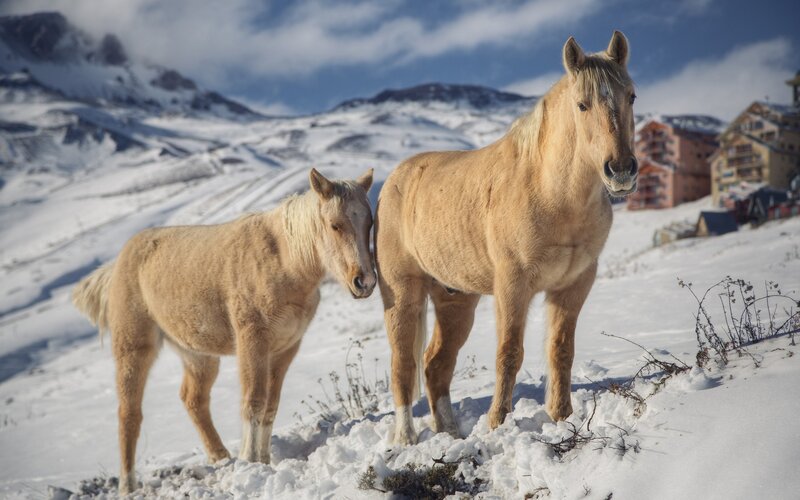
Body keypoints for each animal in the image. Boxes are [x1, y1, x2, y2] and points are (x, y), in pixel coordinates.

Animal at [72, 168, 375, 493]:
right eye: (335, 225)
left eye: (370, 223)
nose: (365, 282)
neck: (283, 261)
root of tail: (119, 262)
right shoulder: (252, 342)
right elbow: (254, 401)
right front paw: (250, 460)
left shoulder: (285, 349)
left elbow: (271, 405)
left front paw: (263, 460)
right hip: (134, 349)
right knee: (129, 414)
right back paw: (129, 486)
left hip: (198, 355)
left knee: (193, 399)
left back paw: (220, 457)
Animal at [375, 31, 637, 444]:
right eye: (582, 104)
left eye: (631, 97)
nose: (622, 170)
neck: (551, 192)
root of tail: (393, 183)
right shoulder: (513, 285)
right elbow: (509, 353)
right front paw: (498, 423)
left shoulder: (573, 285)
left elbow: (561, 350)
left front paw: (561, 417)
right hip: (403, 296)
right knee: (403, 366)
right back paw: (406, 438)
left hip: (455, 300)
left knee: (435, 365)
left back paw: (451, 433)